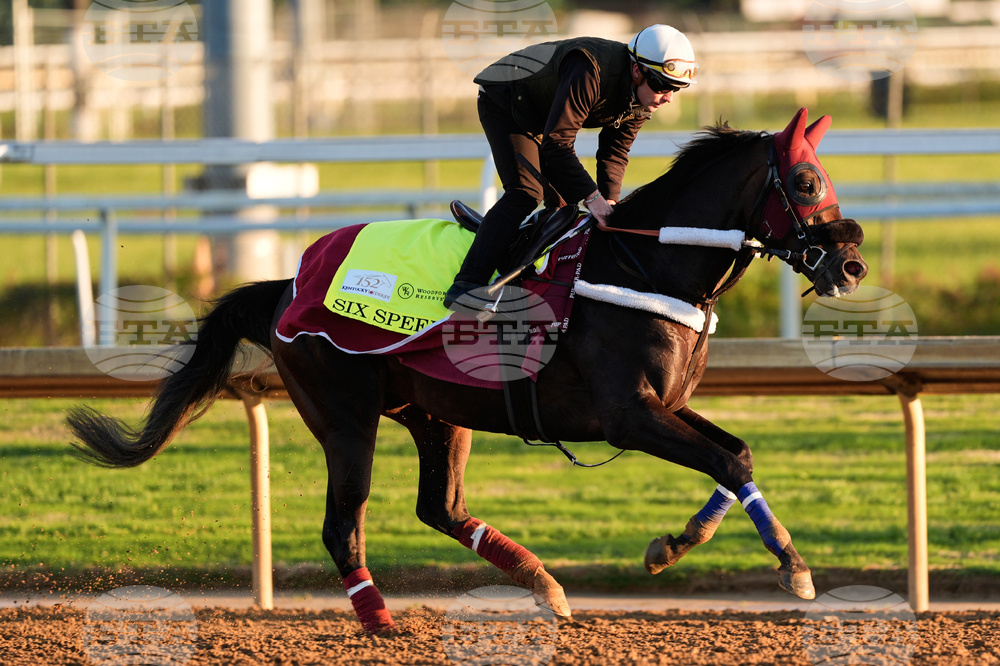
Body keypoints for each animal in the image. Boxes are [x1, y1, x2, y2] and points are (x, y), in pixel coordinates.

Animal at [68, 108, 868, 634]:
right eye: (805, 181)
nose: (851, 263)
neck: (645, 262)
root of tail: (287, 286)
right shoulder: (629, 416)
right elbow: (726, 463)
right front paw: (792, 568)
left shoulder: (666, 405)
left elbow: (738, 454)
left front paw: (670, 548)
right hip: (345, 416)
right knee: (342, 523)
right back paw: (381, 620)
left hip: (436, 414)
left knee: (441, 507)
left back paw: (543, 584)